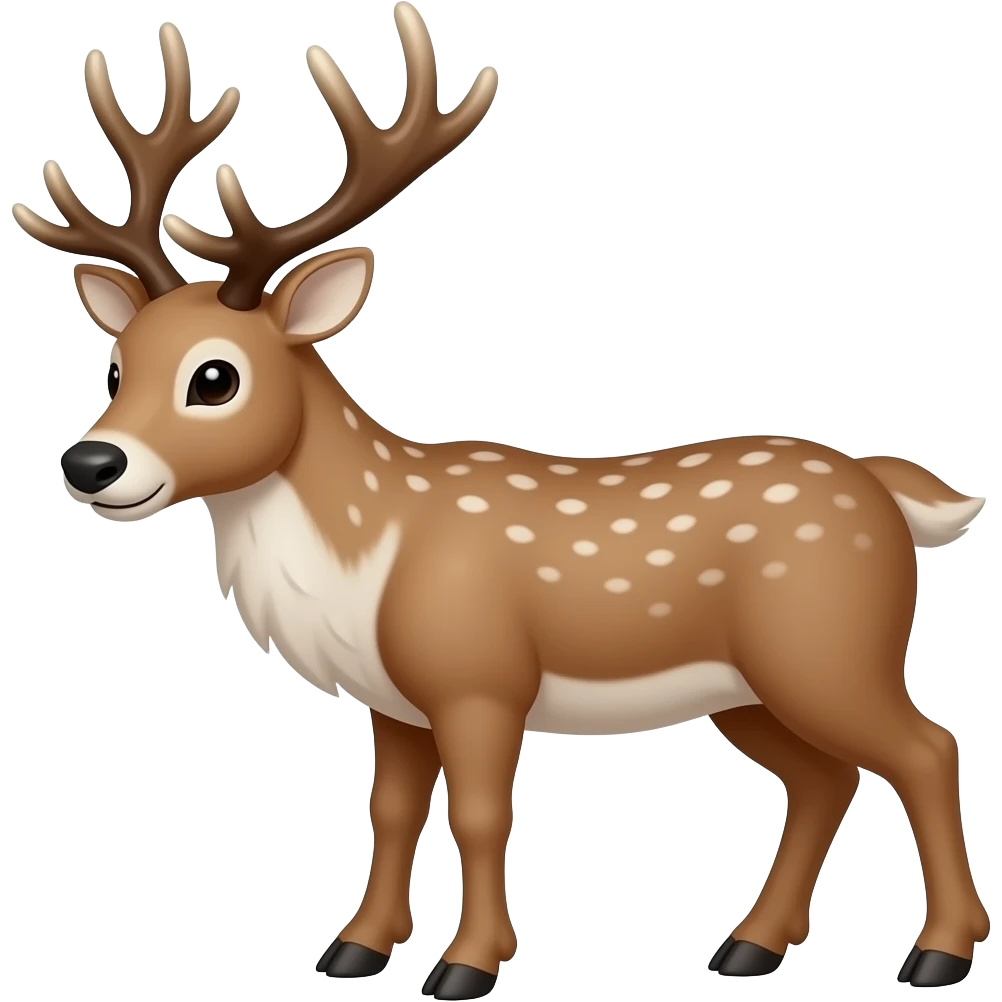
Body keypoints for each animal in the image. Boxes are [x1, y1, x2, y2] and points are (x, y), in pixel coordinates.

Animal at [18, 6, 989, 998]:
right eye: (116, 366)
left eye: (214, 378)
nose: (90, 462)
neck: (374, 548)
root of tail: (885, 490)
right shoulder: (393, 702)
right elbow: (390, 811)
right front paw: (354, 949)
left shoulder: (479, 677)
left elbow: (481, 815)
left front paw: (467, 966)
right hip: (749, 686)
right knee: (824, 780)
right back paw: (750, 946)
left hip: (830, 646)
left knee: (927, 748)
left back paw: (938, 953)